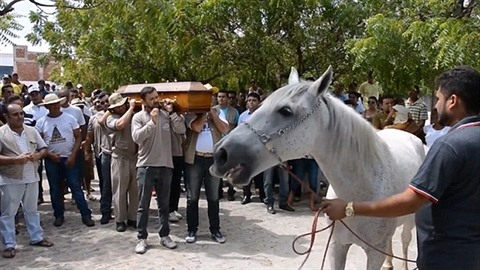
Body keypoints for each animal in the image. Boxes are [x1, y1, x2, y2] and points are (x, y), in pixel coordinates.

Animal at [210, 66, 424, 270]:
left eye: (285, 111)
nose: (221, 154)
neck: (361, 193)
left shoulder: (374, 254)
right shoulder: (337, 246)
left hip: (409, 221)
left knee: (404, 241)